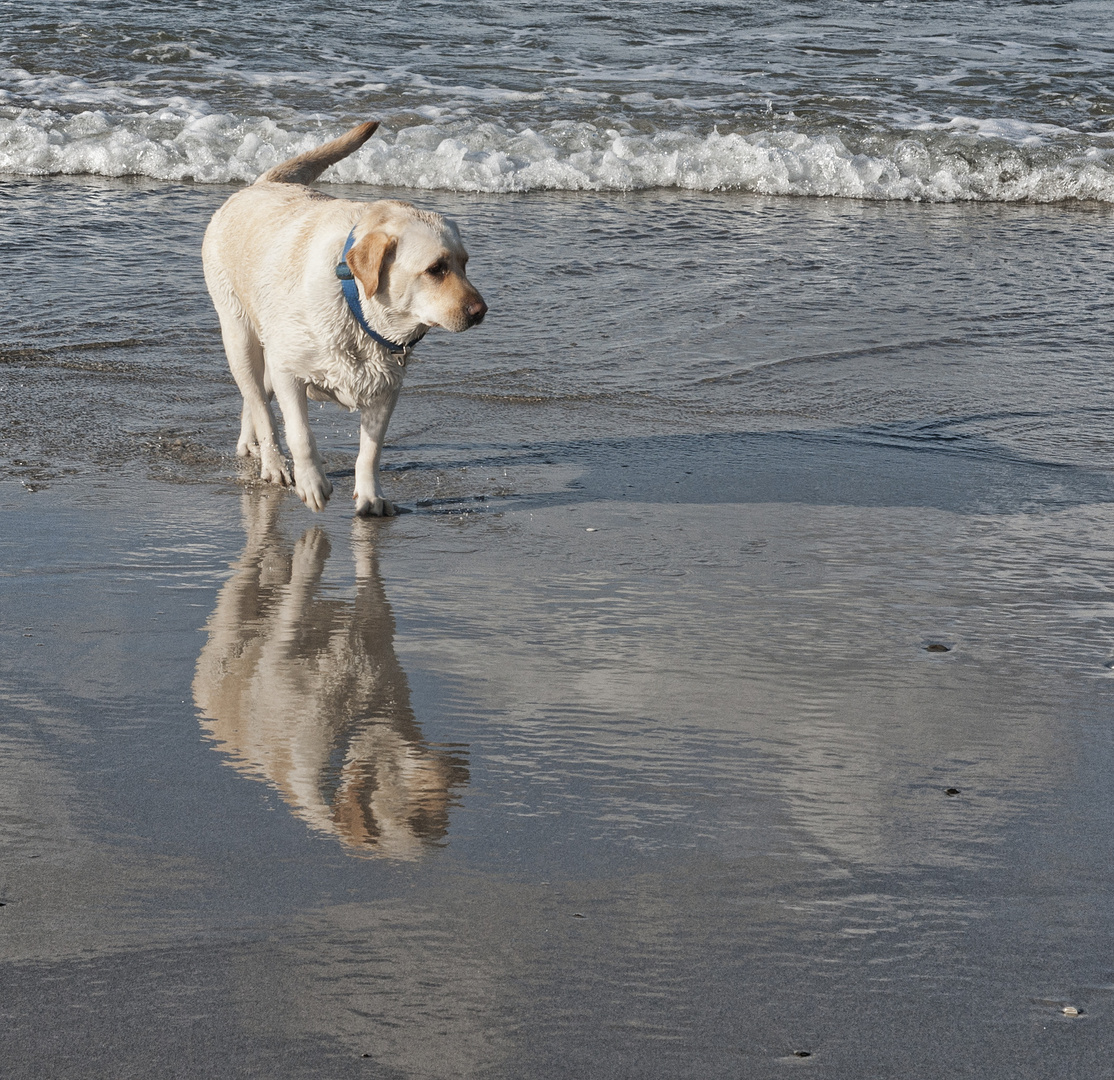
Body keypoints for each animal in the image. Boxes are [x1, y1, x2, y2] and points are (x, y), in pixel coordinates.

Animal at [202, 120, 485, 517]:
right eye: (436, 269)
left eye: (464, 263)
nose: (480, 310)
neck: (357, 308)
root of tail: (263, 183)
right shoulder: (289, 371)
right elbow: (299, 433)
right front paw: (311, 482)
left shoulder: (387, 388)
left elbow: (371, 451)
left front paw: (370, 496)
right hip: (239, 333)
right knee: (257, 398)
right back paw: (273, 463)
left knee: (254, 398)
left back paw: (251, 443)